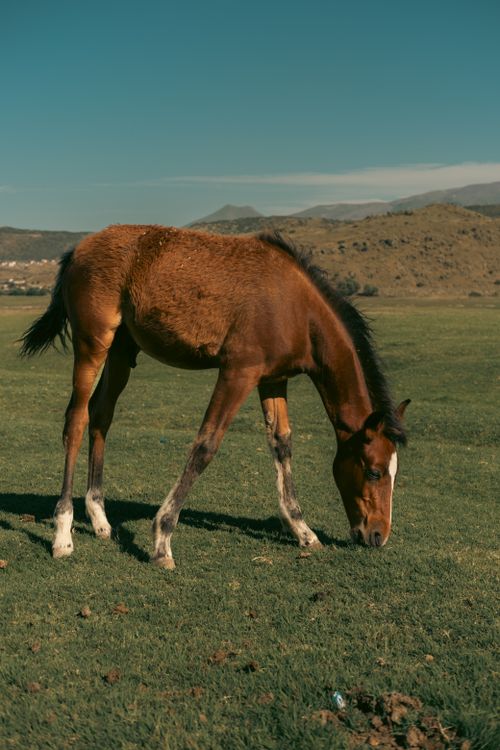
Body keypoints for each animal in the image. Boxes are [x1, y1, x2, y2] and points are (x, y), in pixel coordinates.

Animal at [20, 224, 410, 569]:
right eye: (374, 472)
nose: (378, 535)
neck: (295, 306)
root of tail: (77, 249)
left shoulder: (273, 379)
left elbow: (281, 444)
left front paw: (301, 529)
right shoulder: (238, 373)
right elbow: (206, 445)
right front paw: (162, 540)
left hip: (121, 350)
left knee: (101, 414)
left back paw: (100, 518)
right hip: (92, 344)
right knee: (76, 419)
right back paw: (63, 533)